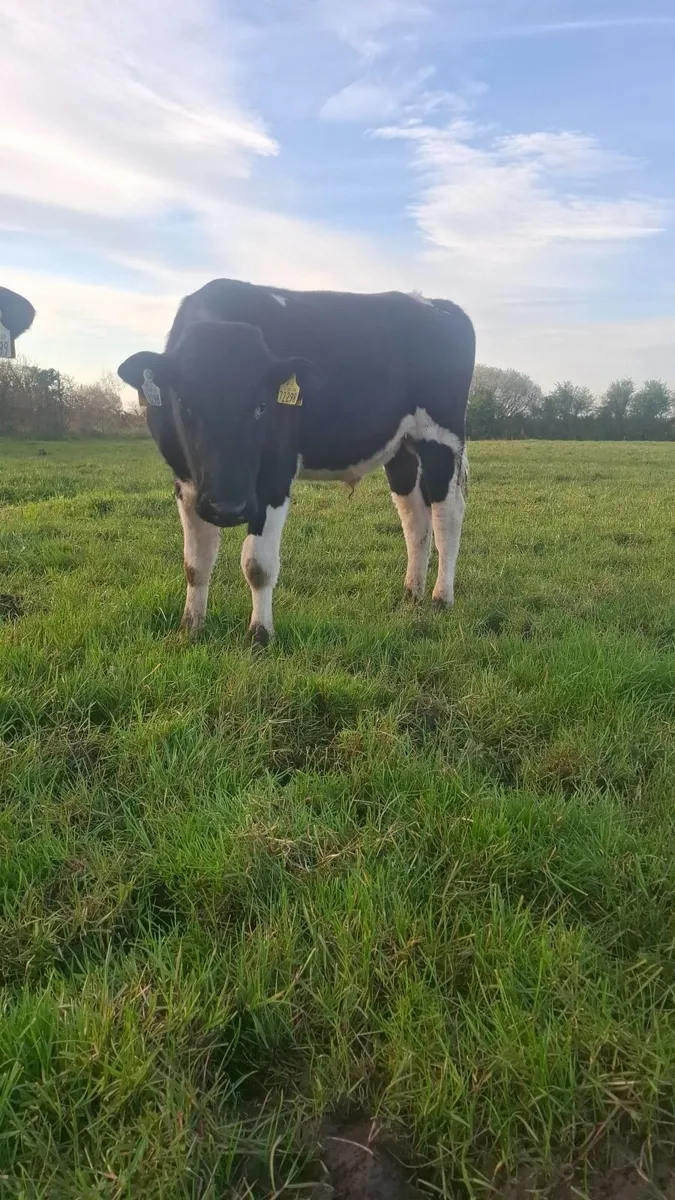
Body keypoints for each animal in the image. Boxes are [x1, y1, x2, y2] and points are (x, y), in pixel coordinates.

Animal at [117, 279, 475, 645]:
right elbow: (195, 563)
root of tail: (437, 304)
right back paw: (412, 592)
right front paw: (190, 627)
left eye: (261, 407)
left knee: (447, 517)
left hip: (442, 438)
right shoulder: (186, 482)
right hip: (402, 451)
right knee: (415, 519)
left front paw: (260, 634)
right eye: (185, 405)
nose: (228, 509)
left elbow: (258, 564)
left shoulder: (275, 475)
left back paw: (441, 597)